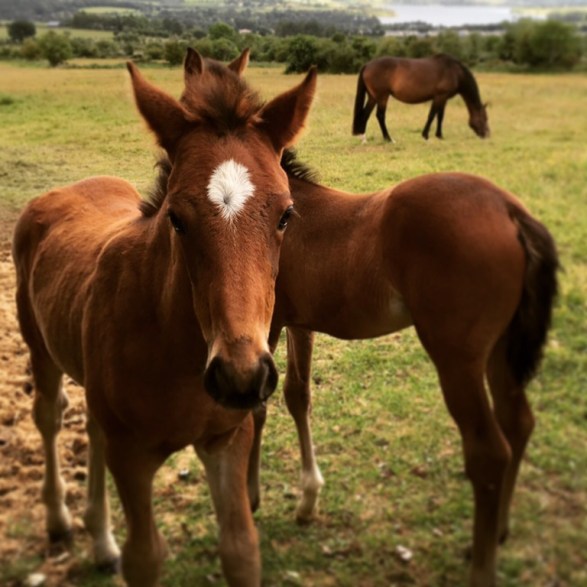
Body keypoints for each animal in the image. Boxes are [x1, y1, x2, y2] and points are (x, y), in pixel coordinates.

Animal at [12, 48, 316, 587]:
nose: (240, 377)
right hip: (39, 349)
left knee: (90, 426)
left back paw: (100, 539)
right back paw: (59, 521)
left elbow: (241, 549)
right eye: (176, 218)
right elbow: (145, 558)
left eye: (286, 214)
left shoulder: (226, 440)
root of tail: (57, 194)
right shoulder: (131, 457)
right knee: (49, 416)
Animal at [248, 151, 557, 587]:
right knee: (519, 423)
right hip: (501, 351)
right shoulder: (299, 323)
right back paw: (498, 532)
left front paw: (253, 496)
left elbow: (255, 409)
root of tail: (509, 209)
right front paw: (307, 501)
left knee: (489, 453)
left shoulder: (270, 323)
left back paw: (481, 566)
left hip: (457, 362)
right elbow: (297, 395)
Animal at [352, 54, 490, 142]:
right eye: (484, 118)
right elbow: (432, 115)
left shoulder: (443, 98)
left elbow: (440, 116)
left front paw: (439, 136)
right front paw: (426, 135)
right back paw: (388, 139)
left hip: (373, 97)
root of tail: (367, 65)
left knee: (365, 114)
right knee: (380, 115)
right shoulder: (440, 96)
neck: (454, 71)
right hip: (382, 96)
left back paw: (363, 138)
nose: (487, 134)